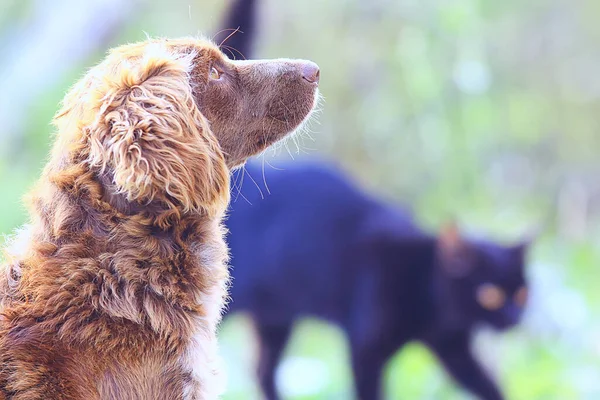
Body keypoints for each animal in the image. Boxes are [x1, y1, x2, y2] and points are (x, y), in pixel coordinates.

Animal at [225, 162, 528, 400]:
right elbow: (369, 392)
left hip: (275, 317)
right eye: (489, 294)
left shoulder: (454, 350)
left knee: (262, 371)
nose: (514, 318)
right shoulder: (365, 349)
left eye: (523, 294)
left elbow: (486, 385)